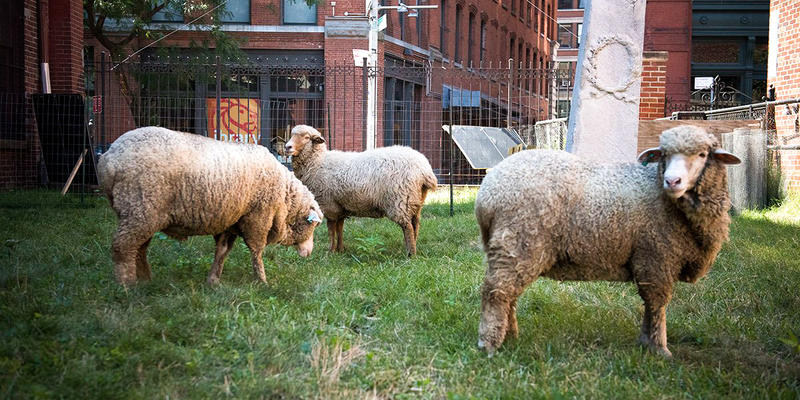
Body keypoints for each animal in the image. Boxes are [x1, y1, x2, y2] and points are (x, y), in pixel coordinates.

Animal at [97, 126, 324, 287]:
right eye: (312, 225)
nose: (309, 253)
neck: (286, 194)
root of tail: (108, 158)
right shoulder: (257, 218)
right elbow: (256, 251)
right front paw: (262, 281)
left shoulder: (232, 219)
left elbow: (222, 251)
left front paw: (213, 280)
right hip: (139, 208)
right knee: (123, 247)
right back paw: (127, 286)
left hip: (143, 213)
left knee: (139, 248)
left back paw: (146, 280)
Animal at [284, 125, 438, 256]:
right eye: (291, 134)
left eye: (306, 137)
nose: (287, 147)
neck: (318, 162)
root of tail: (424, 169)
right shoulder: (340, 207)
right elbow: (340, 228)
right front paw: (340, 250)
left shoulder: (329, 205)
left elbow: (331, 230)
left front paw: (331, 251)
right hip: (415, 200)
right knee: (415, 224)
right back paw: (411, 247)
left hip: (399, 200)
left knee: (408, 227)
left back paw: (410, 254)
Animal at [474, 125, 741, 357]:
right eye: (664, 155)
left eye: (703, 154)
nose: (672, 181)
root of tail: (487, 192)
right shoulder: (656, 257)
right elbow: (657, 305)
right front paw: (659, 349)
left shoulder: (652, 261)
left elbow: (650, 306)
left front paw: (645, 343)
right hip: (519, 241)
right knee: (496, 292)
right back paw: (489, 344)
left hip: (511, 248)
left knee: (508, 295)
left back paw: (510, 336)